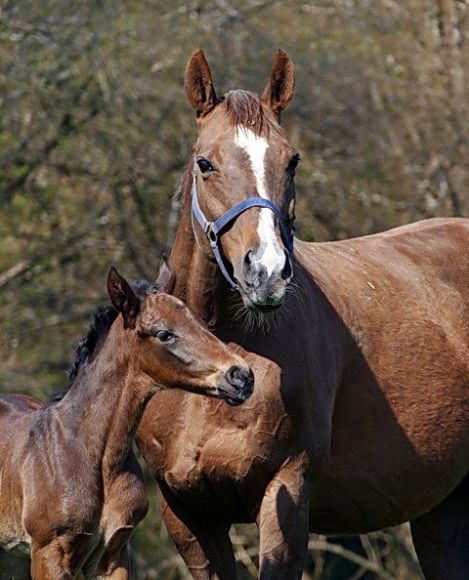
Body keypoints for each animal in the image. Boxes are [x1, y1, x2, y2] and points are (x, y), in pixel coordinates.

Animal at [0, 266, 252, 576]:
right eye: (164, 333)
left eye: (199, 323)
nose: (242, 376)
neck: (87, 453)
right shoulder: (49, 553)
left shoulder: (114, 553)